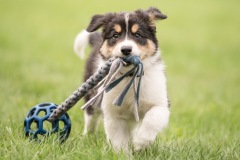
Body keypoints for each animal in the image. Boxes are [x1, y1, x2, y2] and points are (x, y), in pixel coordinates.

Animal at [74, 6, 170, 151]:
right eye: (115, 35)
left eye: (137, 35)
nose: (126, 49)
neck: (128, 76)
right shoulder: (112, 113)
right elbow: (118, 140)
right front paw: (123, 152)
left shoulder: (161, 103)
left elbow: (152, 119)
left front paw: (140, 143)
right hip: (91, 97)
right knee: (90, 118)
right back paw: (87, 137)